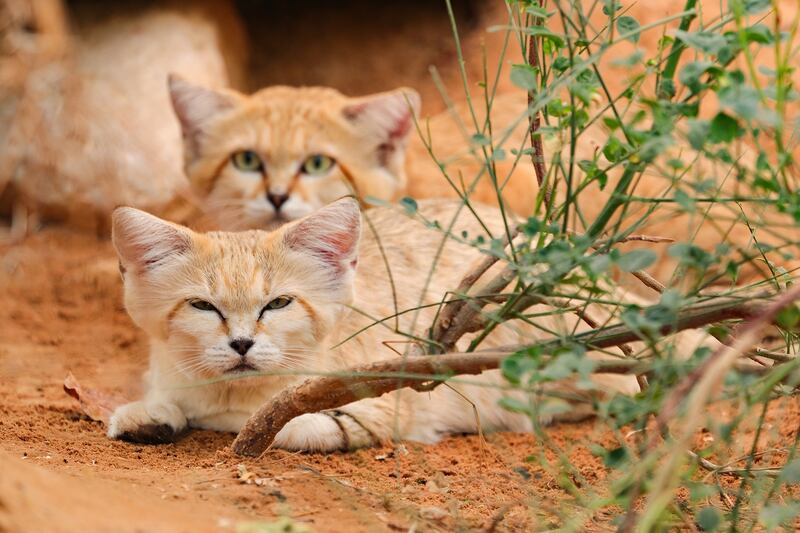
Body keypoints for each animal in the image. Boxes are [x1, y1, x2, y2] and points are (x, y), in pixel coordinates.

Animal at [103, 195, 716, 448]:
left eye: (277, 304)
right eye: (203, 307)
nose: (241, 343)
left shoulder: (383, 406)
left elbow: (275, 422)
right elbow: (162, 398)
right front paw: (150, 412)